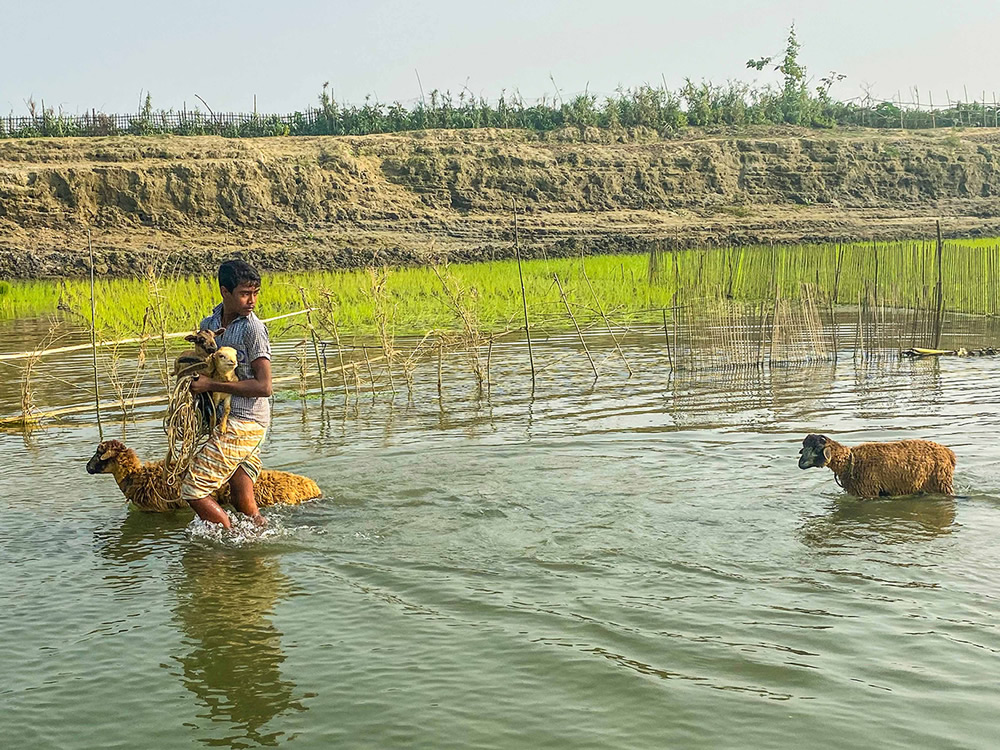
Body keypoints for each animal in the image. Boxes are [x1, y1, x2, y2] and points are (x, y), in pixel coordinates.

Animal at [796, 434, 952, 500]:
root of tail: (948, 452)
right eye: (804, 446)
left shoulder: (868, 492)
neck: (851, 462)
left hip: (940, 483)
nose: (800, 463)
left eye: (817, 448)